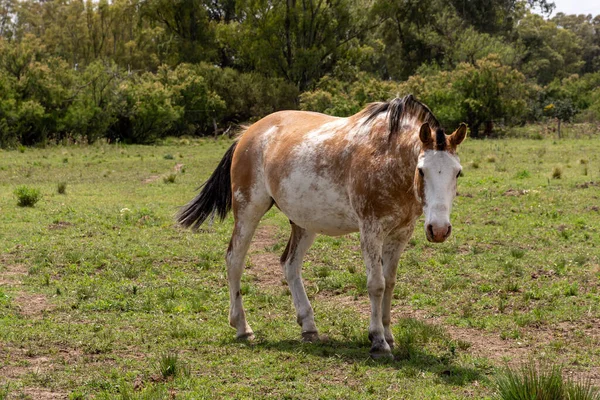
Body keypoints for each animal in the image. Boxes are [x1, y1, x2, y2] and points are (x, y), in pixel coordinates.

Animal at [176, 94, 466, 360]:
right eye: (422, 170)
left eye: (458, 172)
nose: (439, 229)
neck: (388, 157)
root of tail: (248, 133)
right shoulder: (370, 231)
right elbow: (376, 284)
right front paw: (378, 341)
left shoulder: (401, 233)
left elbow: (390, 282)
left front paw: (388, 335)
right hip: (249, 210)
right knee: (235, 259)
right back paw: (242, 327)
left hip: (304, 223)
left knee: (289, 264)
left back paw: (308, 327)